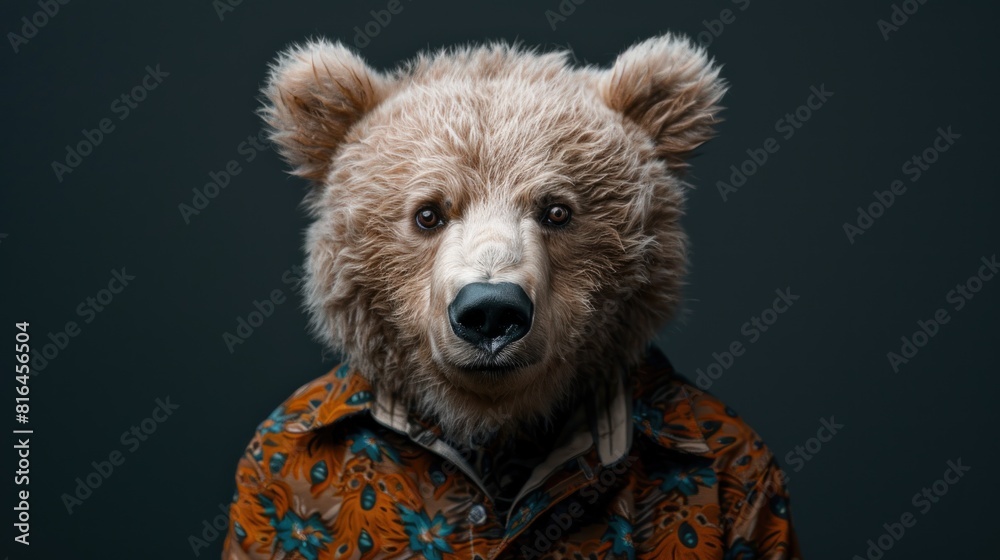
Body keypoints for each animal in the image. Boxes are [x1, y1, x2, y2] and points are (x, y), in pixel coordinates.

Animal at [224, 35, 801, 559]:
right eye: (428, 213)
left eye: (557, 210)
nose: (490, 310)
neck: (493, 424)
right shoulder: (268, 465)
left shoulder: (746, 473)